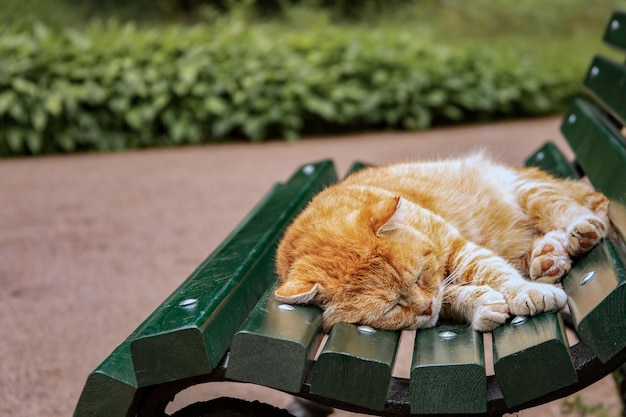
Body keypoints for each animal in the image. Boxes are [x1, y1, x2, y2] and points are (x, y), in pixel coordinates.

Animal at [272, 153, 604, 332]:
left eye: (419, 276)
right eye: (391, 307)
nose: (426, 307)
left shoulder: (458, 248)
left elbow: (496, 272)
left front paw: (526, 292)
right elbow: (454, 296)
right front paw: (481, 305)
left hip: (530, 191)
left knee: (576, 207)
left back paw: (581, 232)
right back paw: (548, 257)